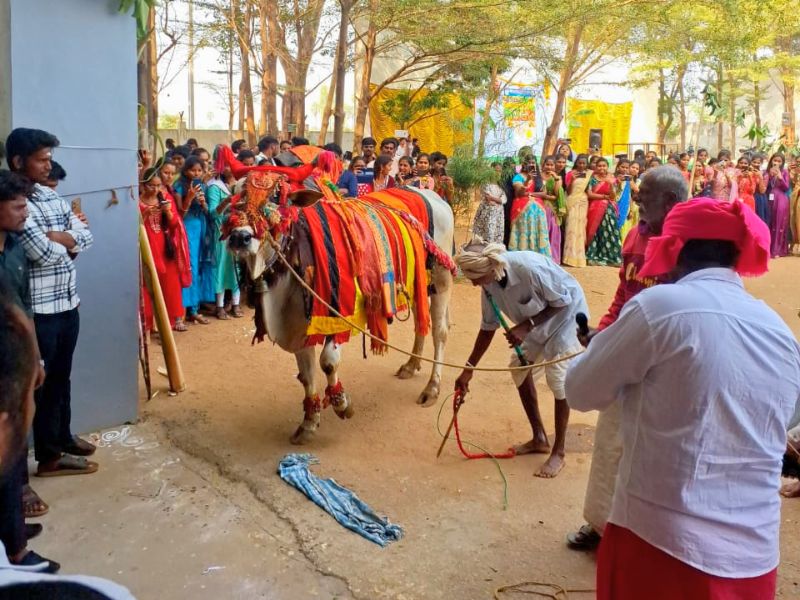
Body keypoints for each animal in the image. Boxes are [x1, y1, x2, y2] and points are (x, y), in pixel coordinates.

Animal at [217, 147, 456, 442]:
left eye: (275, 196)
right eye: (236, 195)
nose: (239, 237)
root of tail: (434, 196)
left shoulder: (337, 312)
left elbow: (328, 363)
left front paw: (342, 403)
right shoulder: (300, 323)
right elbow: (307, 373)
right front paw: (309, 422)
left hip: (442, 281)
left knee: (440, 331)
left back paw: (432, 387)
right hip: (420, 285)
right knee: (422, 323)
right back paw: (411, 365)